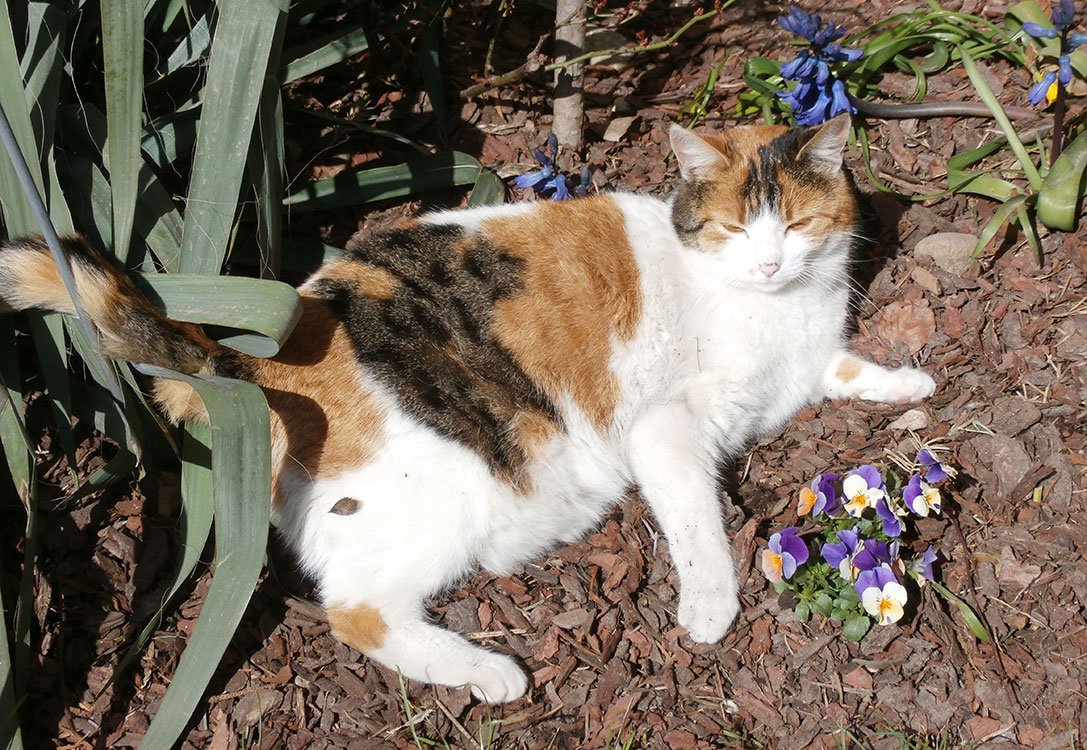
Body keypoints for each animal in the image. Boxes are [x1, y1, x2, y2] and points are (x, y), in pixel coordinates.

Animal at [0, 115, 934, 700]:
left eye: (798, 224)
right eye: (737, 231)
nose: (770, 265)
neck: (769, 310)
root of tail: (254, 366)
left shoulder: (806, 364)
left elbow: (847, 371)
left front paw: (910, 391)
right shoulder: (664, 430)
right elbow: (697, 519)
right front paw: (709, 605)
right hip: (446, 490)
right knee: (356, 609)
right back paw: (492, 674)